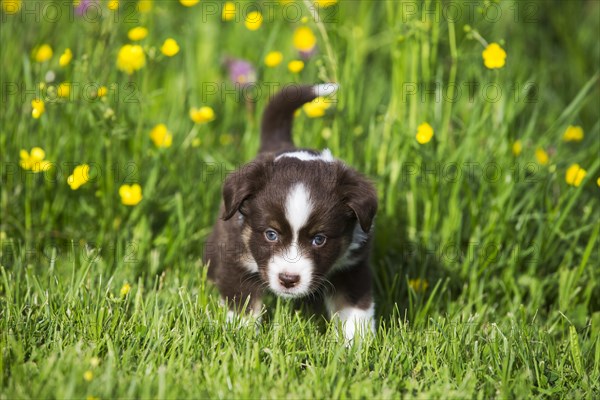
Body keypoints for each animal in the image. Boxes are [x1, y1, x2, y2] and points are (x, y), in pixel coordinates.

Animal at [204, 84, 378, 340]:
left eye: (319, 239)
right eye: (271, 234)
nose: (288, 280)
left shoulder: (351, 266)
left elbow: (356, 310)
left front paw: (356, 343)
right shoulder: (235, 259)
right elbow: (243, 305)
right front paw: (240, 337)